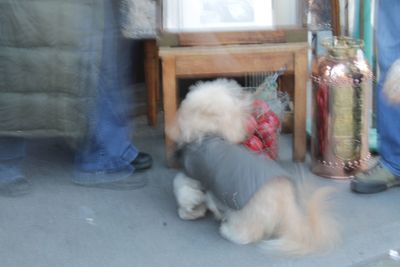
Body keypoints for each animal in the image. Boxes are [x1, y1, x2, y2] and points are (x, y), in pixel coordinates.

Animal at [167, 78, 340, 254]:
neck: (210, 132)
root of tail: (286, 205)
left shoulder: (194, 174)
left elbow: (182, 189)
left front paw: (188, 211)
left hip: (245, 214)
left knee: (247, 235)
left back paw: (227, 231)